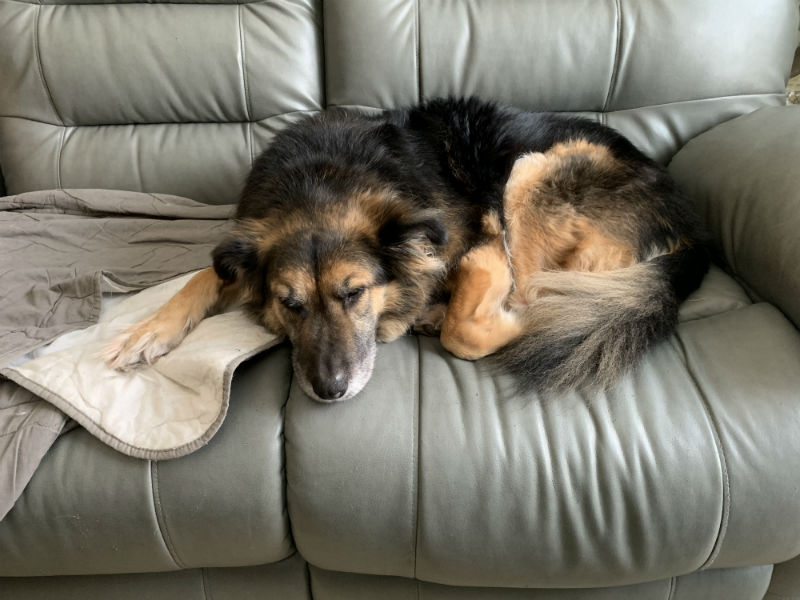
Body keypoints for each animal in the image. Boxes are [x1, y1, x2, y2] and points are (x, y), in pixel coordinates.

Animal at [104, 97, 708, 401]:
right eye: (289, 304)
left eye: (354, 294)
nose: (329, 391)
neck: (320, 183)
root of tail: (693, 231)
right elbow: (204, 275)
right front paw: (146, 333)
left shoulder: (483, 253)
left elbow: (469, 328)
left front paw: (479, 317)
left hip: (531, 172)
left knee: (544, 292)